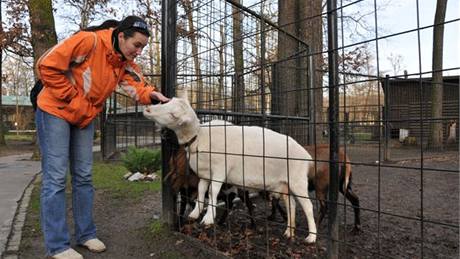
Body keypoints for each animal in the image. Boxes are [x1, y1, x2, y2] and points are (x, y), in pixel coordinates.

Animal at [144, 97, 316, 244]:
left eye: (173, 114)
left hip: (298, 181)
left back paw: (311, 237)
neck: (199, 137)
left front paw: (208, 218)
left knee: (308, 206)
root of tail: (306, 156)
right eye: (167, 102)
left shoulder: (220, 170)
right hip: (284, 184)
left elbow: (212, 191)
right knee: (291, 204)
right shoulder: (205, 174)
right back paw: (289, 232)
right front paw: (196, 213)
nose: (147, 109)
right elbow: (201, 190)